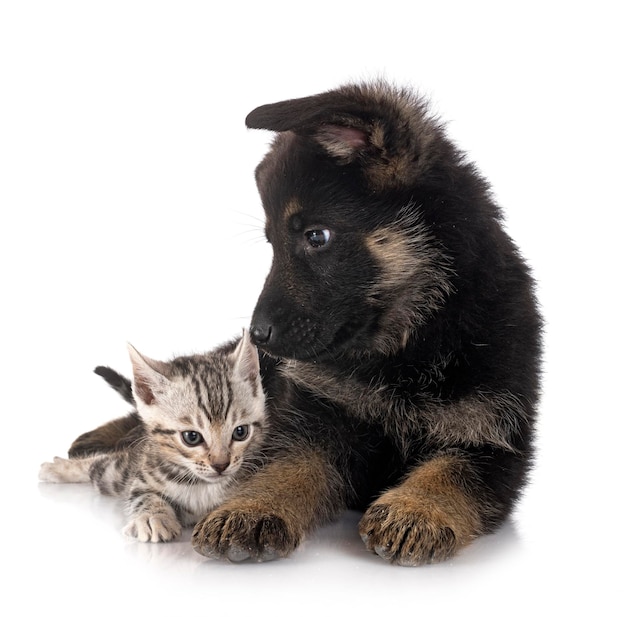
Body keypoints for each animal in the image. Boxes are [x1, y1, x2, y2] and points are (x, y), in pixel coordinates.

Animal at [39, 330, 264, 540]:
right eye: (191, 437)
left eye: (240, 432)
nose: (220, 465)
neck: (202, 485)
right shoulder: (142, 478)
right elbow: (143, 495)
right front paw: (151, 516)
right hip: (115, 473)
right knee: (100, 465)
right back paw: (58, 467)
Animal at [70, 82, 540, 564]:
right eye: (271, 241)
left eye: (317, 236)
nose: (258, 336)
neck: (408, 344)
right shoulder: (314, 418)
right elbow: (290, 465)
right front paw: (252, 510)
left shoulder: (494, 444)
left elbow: (451, 472)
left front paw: (415, 509)